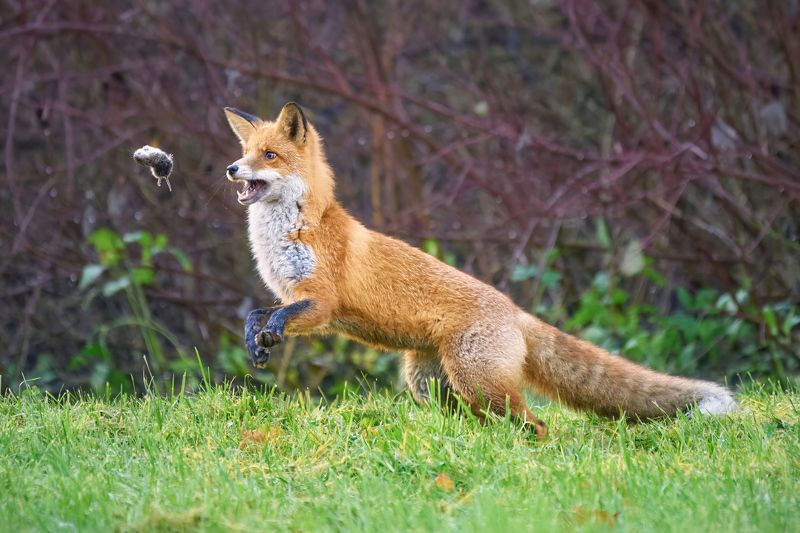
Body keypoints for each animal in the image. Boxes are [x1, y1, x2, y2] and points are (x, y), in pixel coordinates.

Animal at [223, 102, 737, 436]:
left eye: (269, 156)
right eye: (247, 153)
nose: (231, 169)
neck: (293, 230)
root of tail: (514, 310)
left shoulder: (322, 301)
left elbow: (286, 317)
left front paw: (270, 336)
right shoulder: (293, 295)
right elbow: (257, 315)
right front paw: (256, 340)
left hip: (478, 383)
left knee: (536, 424)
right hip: (433, 387)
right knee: (485, 424)